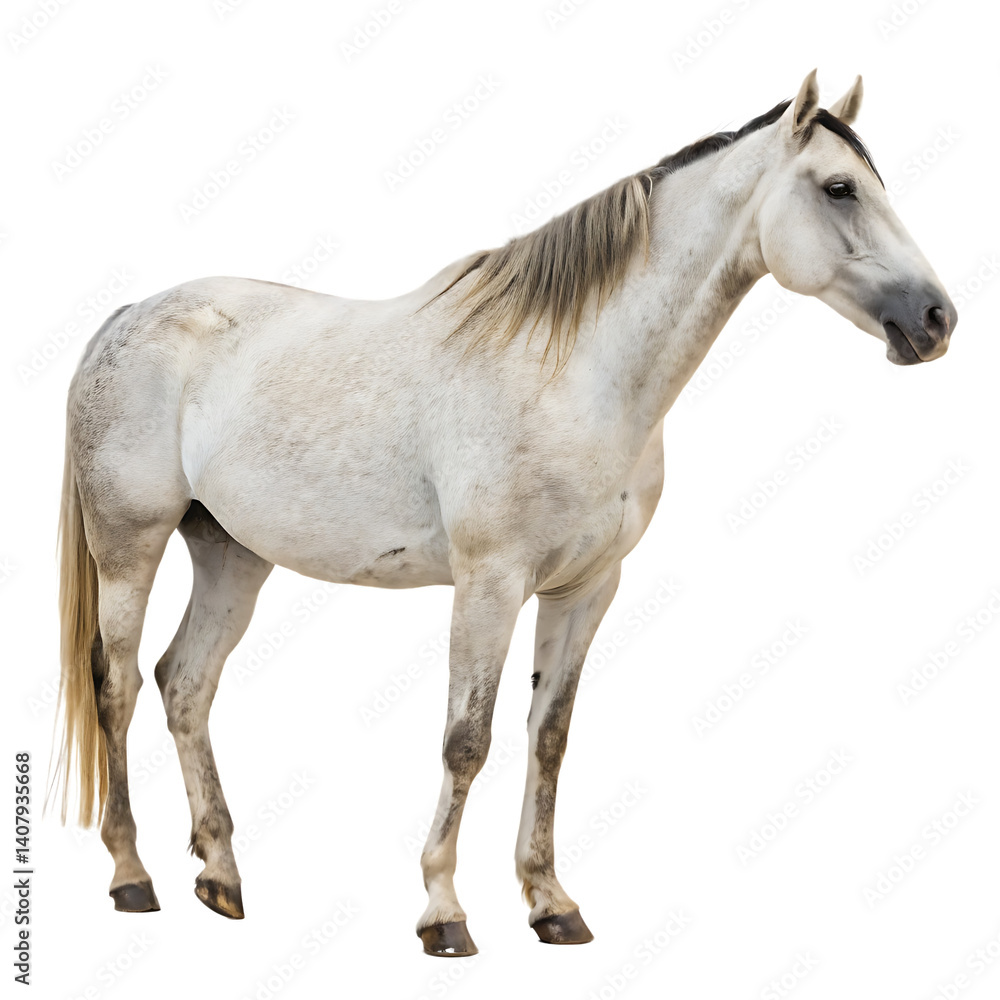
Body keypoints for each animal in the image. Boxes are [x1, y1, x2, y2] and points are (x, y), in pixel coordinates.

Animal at [54, 70, 957, 957]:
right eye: (839, 188)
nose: (936, 319)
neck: (578, 372)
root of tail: (129, 316)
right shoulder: (489, 584)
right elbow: (468, 739)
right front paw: (443, 912)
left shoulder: (586, 589)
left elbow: (548, 737)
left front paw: (551, 903)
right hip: (130, 549)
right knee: (117, 686)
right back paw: (131, 876)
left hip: (233, 553)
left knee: (185, 684)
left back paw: (222, 878)